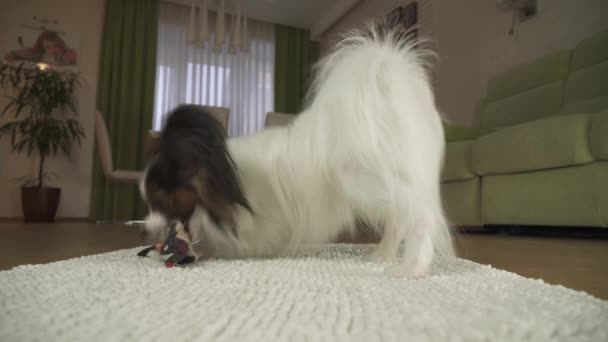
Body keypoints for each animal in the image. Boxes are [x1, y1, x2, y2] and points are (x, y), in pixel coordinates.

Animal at [140, 26, 454, 278]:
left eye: (160, 199)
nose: (144, 229)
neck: (228, 177)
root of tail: (391, 82)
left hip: (366, 181)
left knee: (420, 217)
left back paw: (412, 268)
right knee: (398, 221)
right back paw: (382, 255)